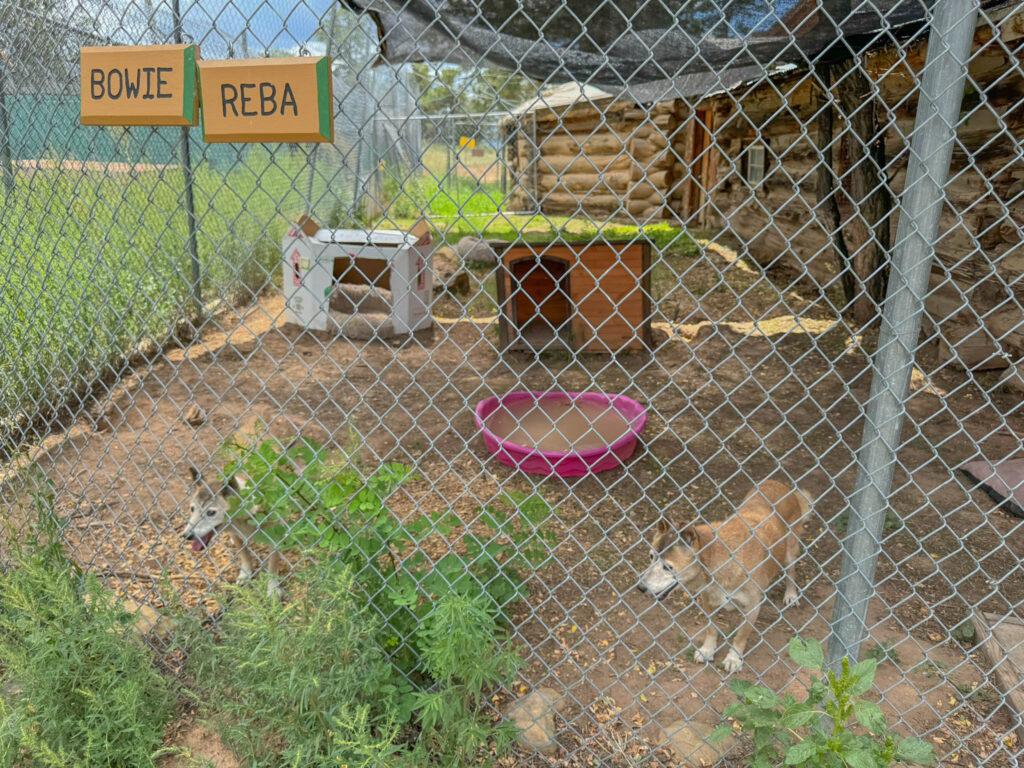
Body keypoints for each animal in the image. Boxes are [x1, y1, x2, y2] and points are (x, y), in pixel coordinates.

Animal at [181, 466, 288, 598]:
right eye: (192, 509)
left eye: (210, 513)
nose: (186, 536)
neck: (244, 520)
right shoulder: (236, 534)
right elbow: (244, 555)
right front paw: (245, 574)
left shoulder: (275, 539)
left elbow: (273, 565)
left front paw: (272, 588)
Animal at [634, 481, 811, 671]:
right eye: (651, 557)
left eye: (667, 567)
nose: (640, 587)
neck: (718, 562)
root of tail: (778, 483)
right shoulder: (707, 599)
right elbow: (711, 628)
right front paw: (707, 650)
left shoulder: (753, 607)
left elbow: (741, 635)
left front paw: (733, 658)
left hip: (790, 553)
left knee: (791, 572)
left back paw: (791, 595)